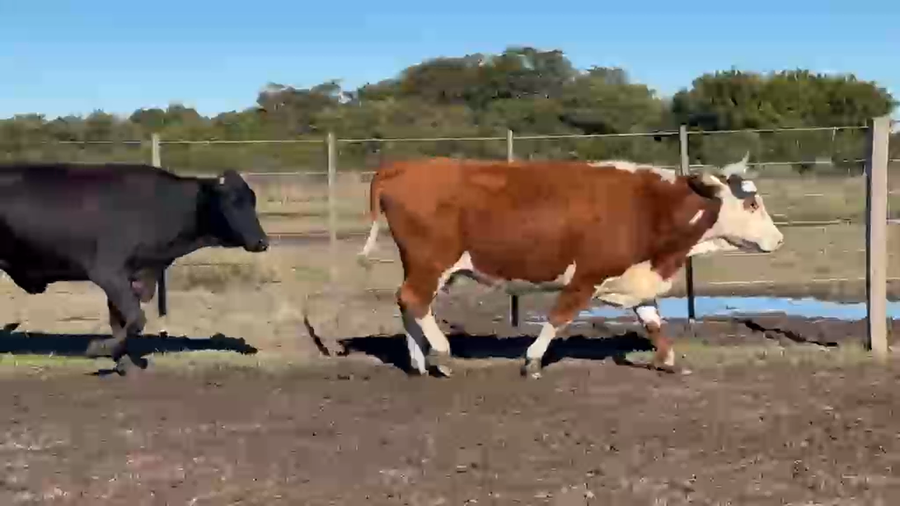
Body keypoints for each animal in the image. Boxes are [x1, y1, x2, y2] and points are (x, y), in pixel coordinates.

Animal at [0, 162, 269, 374]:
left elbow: (122, 322)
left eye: (252, 199)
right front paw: (99, 348)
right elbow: (136, 319)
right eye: (232, 201)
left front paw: (124, 362)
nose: (262, 242)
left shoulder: (134, 277)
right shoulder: (108, 273)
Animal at [357, 154, 783, 378]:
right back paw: (442, 354)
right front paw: (532, 359)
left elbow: (653, 321)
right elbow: (560, 316)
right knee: (414, 300)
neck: (649, 206)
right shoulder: (587, 276)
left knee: (409, 304)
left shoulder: (633, 276)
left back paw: (418, 360)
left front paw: (665, 359)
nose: (778, 240)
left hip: (422, 265)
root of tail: (402, 166)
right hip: (432, 262)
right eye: (751, 203)